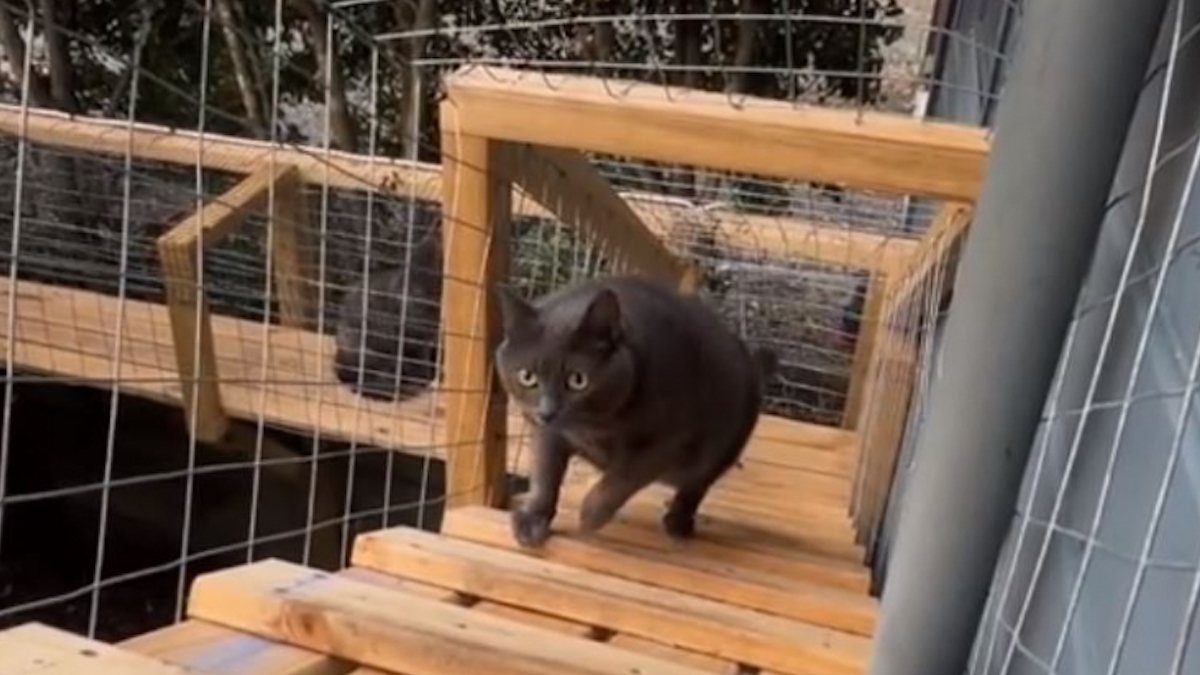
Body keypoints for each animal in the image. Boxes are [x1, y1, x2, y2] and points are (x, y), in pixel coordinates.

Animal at [492, 273, 772, 547]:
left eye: (578, 380)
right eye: (527, 376)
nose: (547, 411)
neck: (595, 426)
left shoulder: (672, 439)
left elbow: (624, 475)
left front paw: (591, 515)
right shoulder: (548, 433)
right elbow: (545, 472)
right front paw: (533, 519)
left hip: (725, 444)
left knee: (696, 484)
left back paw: (678, 521)